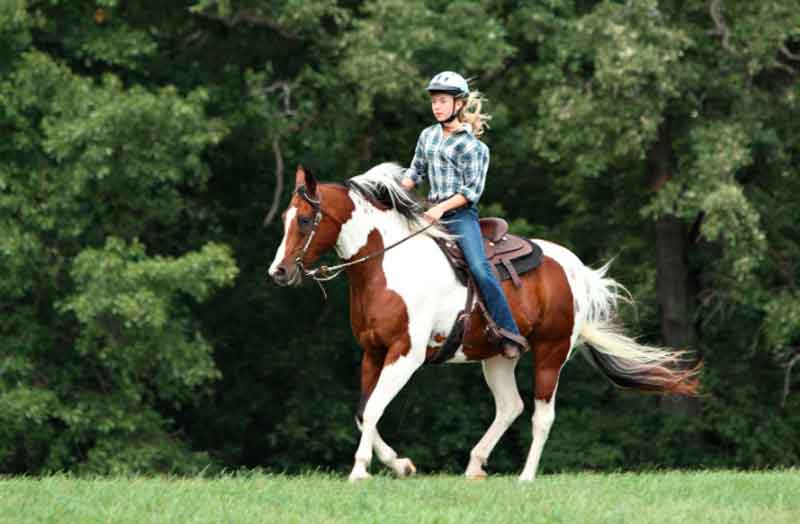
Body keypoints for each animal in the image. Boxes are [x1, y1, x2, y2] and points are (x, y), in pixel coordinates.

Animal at [268, 162, 700, 482]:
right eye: (286, 216)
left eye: (304, 220)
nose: (279, 271)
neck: (387, 265)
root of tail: (575, 270)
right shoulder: (372, 352)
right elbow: (363, 412)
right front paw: (400, 465)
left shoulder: (405, 354)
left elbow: (373, 409)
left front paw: (360, 471)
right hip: (497, 356)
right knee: (510, 406)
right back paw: (475, 465)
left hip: (551, 352)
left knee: (542, 415)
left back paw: (526, 477)